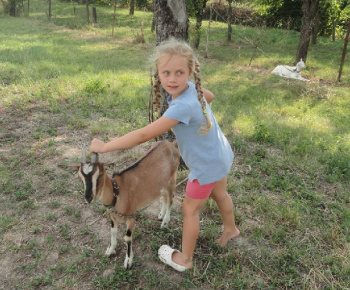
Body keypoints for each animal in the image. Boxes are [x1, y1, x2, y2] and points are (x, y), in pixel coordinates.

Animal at [66, 139, 180, 268]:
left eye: (99, 174)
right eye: (80, 177)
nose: (88, 197)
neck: (117, 193)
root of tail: (170, 144)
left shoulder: (131, 217)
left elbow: (128, 237)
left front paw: (128, 261)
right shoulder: (113, 216)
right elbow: (113, 231)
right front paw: (110, 250)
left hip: (172, 181)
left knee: (171, 199)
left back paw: (165, 222)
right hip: (161, 184)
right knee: (164, 197)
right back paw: (160, 215)